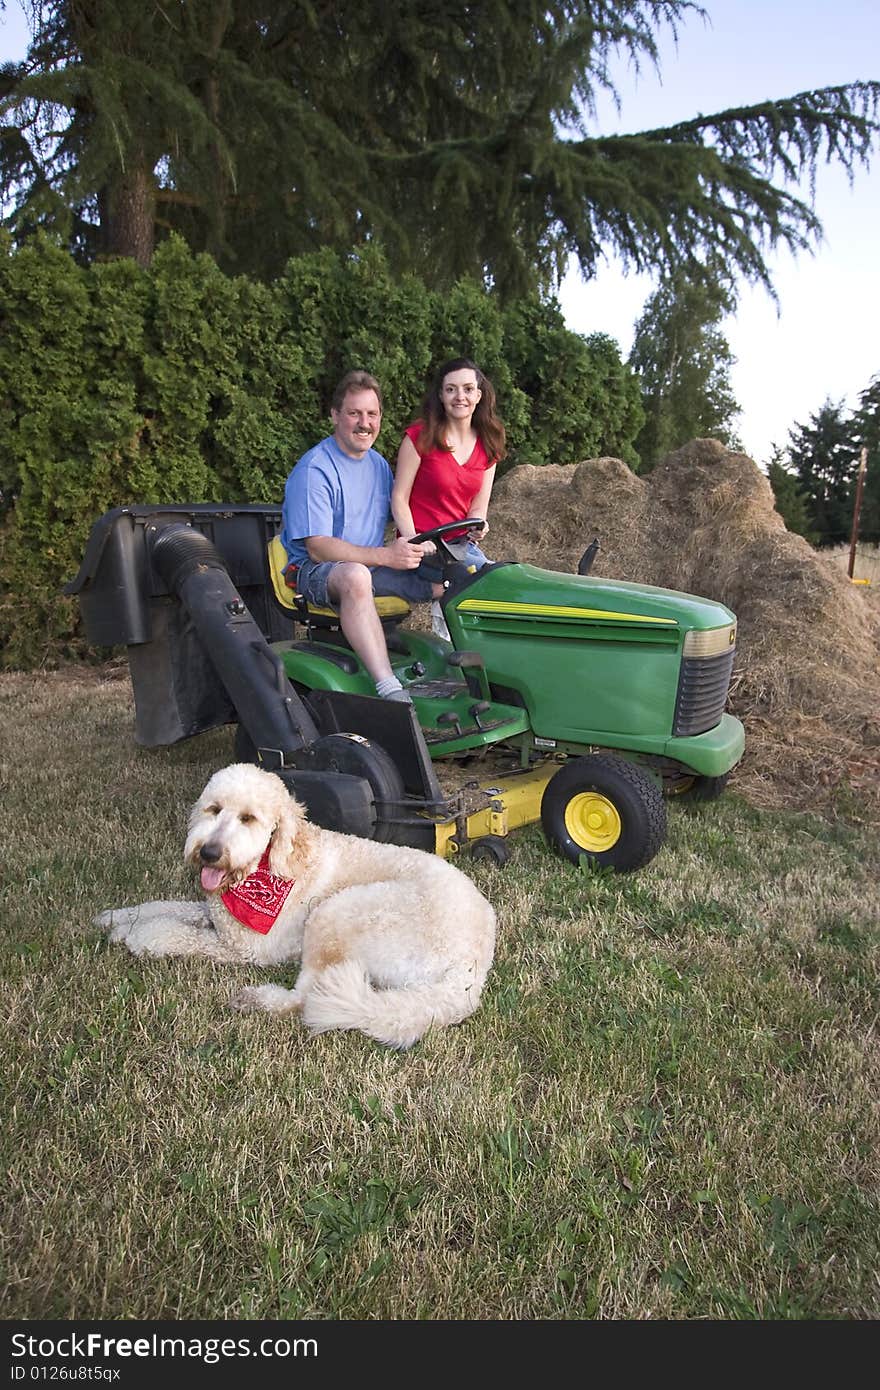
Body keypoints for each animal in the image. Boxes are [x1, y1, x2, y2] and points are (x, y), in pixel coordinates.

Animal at [98, 761, 494, 1045]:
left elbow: (177, 934)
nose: (209, 853)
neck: (270, 862)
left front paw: (138, 936)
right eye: (213, 809)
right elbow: (166, 907)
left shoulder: (247, 948)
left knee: (305, 998)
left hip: (335, 913)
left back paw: (257, 1000)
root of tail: (470, 969)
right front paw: (116, 919)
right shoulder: (212, 912)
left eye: (248, 818)